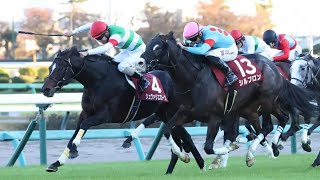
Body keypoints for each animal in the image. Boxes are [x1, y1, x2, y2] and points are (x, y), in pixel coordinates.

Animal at [42, 46, 205, 173]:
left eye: (61, 68)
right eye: (50, 68)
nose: (45, 89)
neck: (98, 81)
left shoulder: (105, 115)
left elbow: (83, 126)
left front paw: (74, 151)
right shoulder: (85, 113)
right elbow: (75, 133)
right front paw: (56, 163)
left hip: (171, 111)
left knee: (183, 136)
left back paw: (198, 163)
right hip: (164, 113)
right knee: (181, 135)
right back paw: (183, 163)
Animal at [141, 31, 318, 167]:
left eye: (157, 47)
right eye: (149, 45)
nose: (140, 62)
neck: (194, 79)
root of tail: (273, 66)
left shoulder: (216, 116)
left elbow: (210, 146)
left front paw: (226, 152)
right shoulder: (185, 113)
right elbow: (167, 129)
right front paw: (183, 155)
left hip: (267, 100)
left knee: (270, 125)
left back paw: (257, 152)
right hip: (254, 108)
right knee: (277, 121)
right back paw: (268, 148)